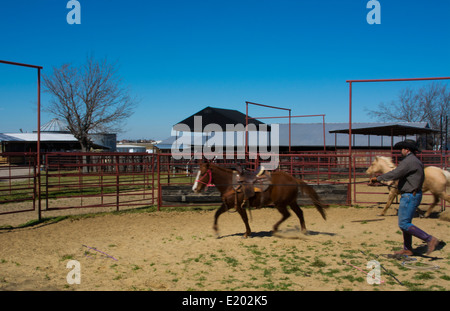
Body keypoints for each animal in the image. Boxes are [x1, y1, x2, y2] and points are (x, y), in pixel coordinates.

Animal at [192, 163, 326, 239]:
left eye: (203, 173)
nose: (194, 189)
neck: (231, 184)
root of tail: (293, 178)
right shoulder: (228, 204)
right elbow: (216, 214)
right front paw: (216, 231)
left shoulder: (239, 206)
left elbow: (245, 219)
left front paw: (247, 233)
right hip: (291, 202)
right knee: (299, 213)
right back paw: (303, 231)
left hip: (280, 204)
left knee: (287, 214)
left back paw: (275, 229)